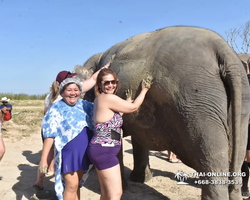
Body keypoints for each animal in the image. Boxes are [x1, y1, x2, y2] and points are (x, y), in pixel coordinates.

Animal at [73, 25, 250, 199]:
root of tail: (224, 51)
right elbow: (138, 136)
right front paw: (141, 179)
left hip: (199, 105)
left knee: (212, 165)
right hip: (238, 105)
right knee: (235, 164)